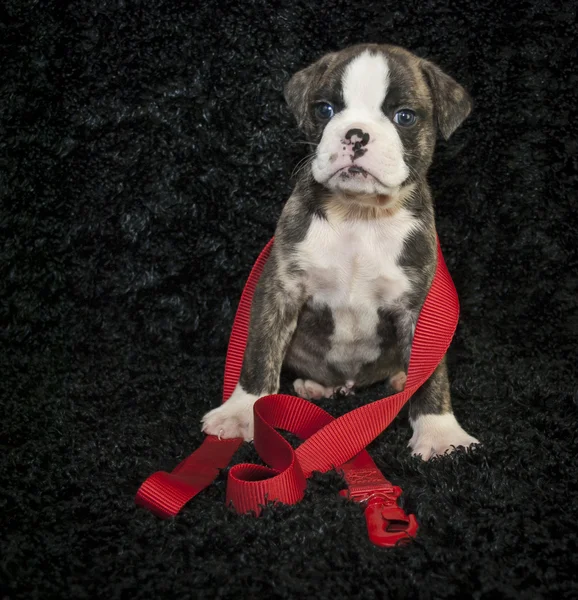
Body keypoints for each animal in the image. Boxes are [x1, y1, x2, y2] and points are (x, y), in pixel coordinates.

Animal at [201, 43, 476, 460]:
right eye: (325, 110)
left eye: (405, 116)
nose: (356, 134)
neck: (359, 216)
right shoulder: (279, 289)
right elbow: (260, 351)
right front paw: (242, 410)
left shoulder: (422, 308)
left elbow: (432, 374)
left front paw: (439, 431)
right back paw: (314, 386)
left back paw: (400, 379)